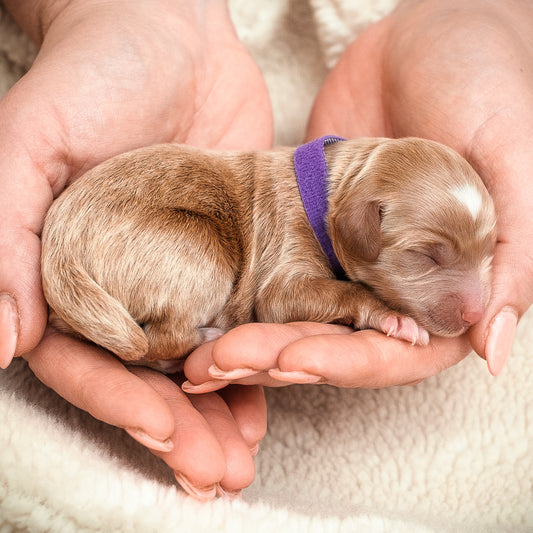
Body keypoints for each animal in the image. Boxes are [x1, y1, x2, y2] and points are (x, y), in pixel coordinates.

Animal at [40, 137, 494, 370]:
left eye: (489, 251)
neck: (327, 189)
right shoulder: (285, 260)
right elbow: (305, 295)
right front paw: (393, 318)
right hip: (200, 249)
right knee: (157, 343)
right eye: (427, 255)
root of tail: (58, 250)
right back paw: (207, 336)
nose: (476, 316)